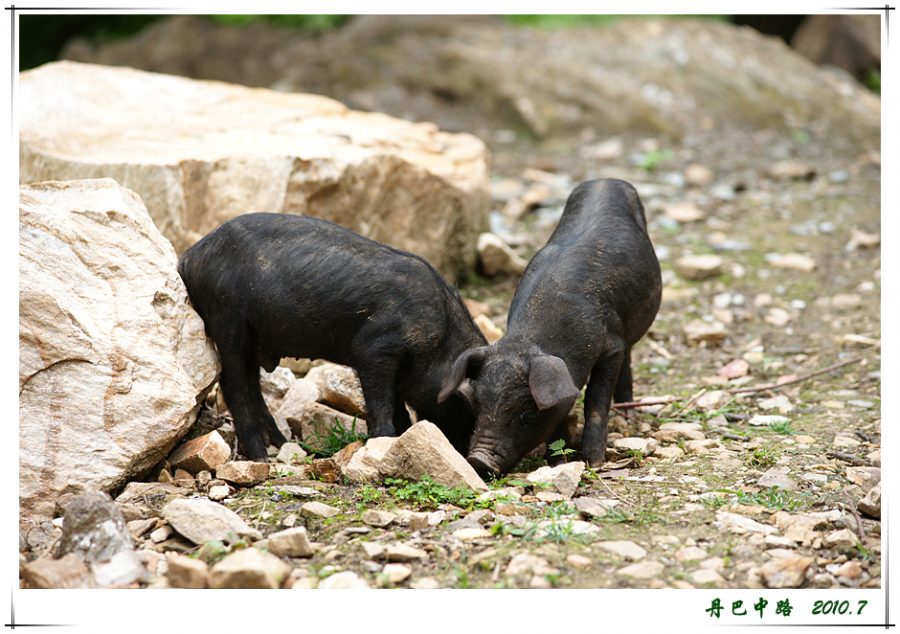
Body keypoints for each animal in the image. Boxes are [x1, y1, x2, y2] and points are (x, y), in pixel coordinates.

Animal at [178, 213, 487, 462]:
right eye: (469, 406)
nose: (471, 459)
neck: (439, 339)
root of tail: (189, 256)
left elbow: (397, 405)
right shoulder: (373, 350)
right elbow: (381, 401)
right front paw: (383, 440)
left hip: (250, 334)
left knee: (251, 383)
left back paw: (280, 442)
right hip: (227, 317)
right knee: (234, 383)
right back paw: (260, 457)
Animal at [439, 179, 662, 476]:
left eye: (526, 414)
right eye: (477, 406)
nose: (478, 460)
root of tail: (606, 180)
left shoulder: (611, 345)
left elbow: (595, 402)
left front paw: (593, 462)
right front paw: (558, 463)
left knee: (627, 361)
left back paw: (628, 415)